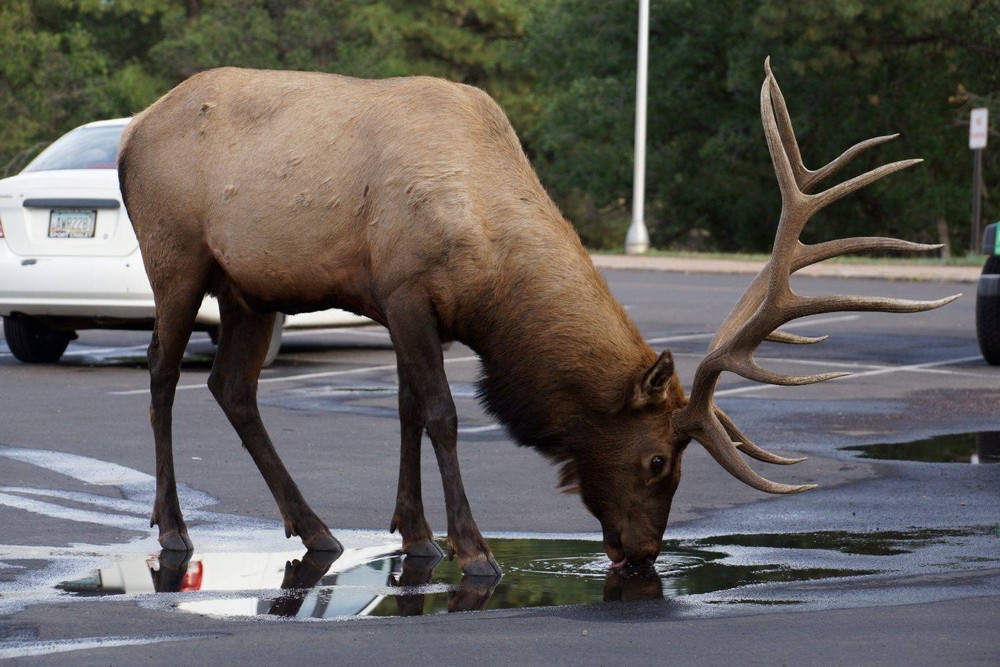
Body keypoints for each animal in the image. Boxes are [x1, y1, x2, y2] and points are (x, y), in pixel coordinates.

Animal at [117, 59, 957, 576]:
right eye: (659, 460)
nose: (642, 553)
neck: (493, 271)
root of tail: (128, 134)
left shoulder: (404, 306)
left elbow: (406, 411)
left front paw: (415, 535)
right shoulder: (406, 287)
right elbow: (443, 413)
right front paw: (472, 547)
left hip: (248, 289)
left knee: (231, 386)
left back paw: (317, 527)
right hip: (177, 257)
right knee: (162, 373)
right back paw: (174, 528)